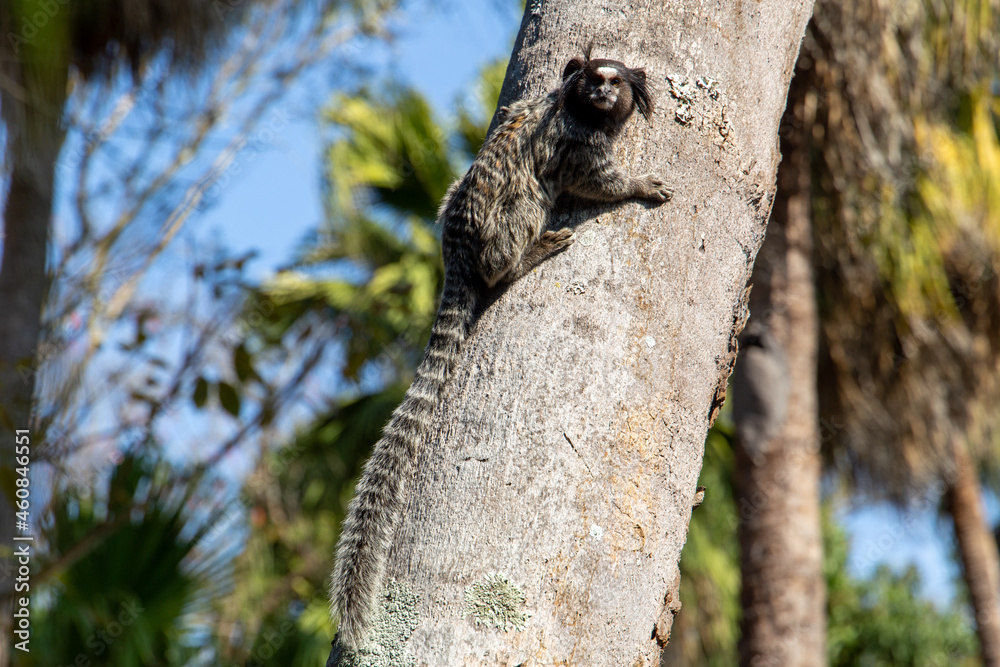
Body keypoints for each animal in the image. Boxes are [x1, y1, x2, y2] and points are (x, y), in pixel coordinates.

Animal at [328, 48, 672, 651]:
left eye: (612, 82)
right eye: (594, 81)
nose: (602, 94)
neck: (579, 109)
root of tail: (458, 250)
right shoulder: (577, 142)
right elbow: (594, 181)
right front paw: (637, 185)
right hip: (502, 227)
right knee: (527, 199)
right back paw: (525, 257)